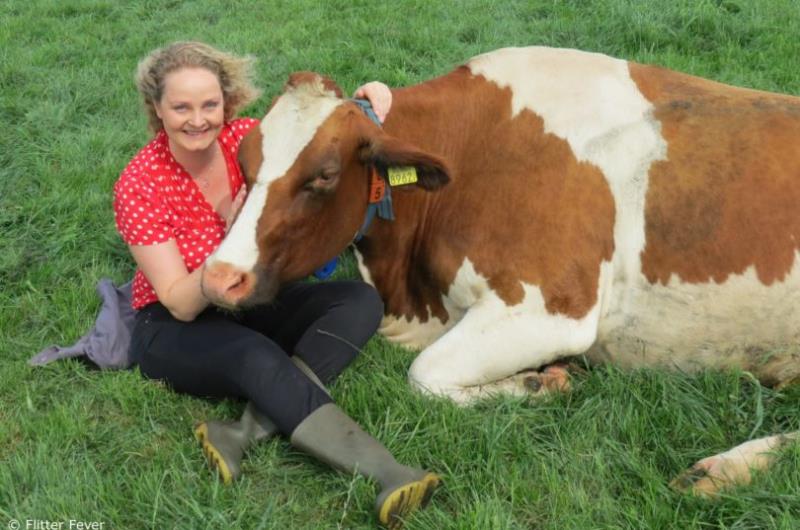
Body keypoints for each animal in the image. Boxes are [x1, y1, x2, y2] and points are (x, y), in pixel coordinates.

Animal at [200, 46, 800, 496]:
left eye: (323, 175)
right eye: (245, 163)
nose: (219, 276)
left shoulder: (553, 310)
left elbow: (424, 376)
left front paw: (538, 382)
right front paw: (538, 380)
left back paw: (723, 470)